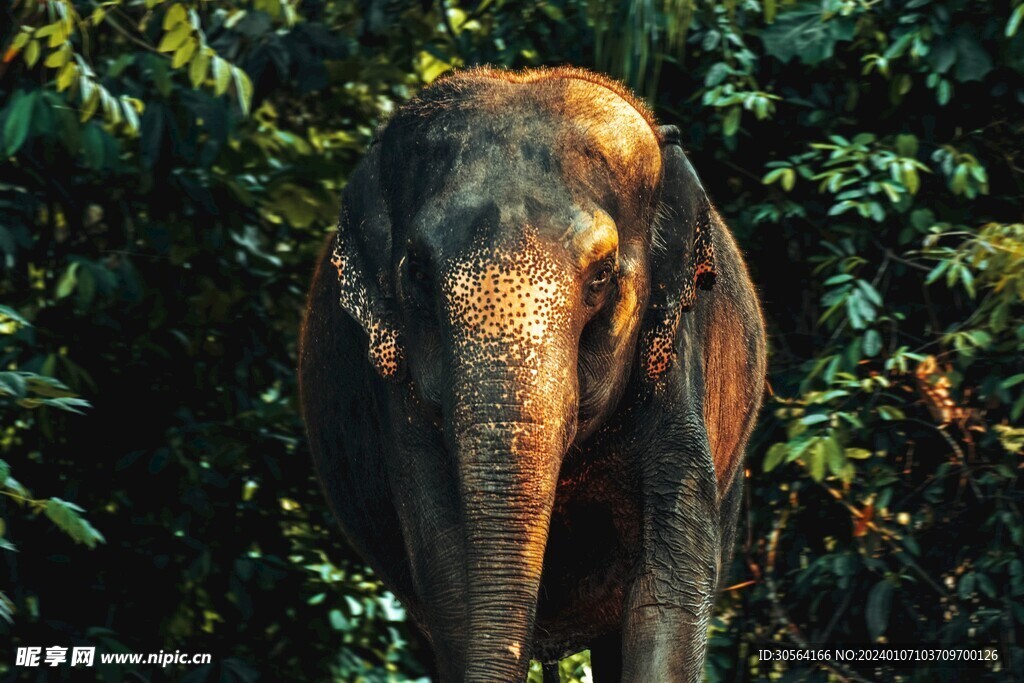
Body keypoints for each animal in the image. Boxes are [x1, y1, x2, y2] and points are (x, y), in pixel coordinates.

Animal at [298, 66, 767, 683]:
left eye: (601, 276)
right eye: (418, 273)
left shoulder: (674, 370)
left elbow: (668, 587)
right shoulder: (397, 393)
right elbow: (451, 582)